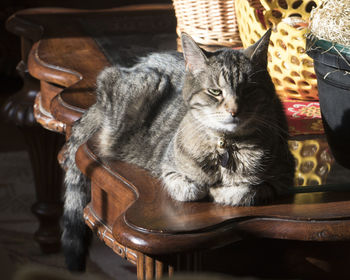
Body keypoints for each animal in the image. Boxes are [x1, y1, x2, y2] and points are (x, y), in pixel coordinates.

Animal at [62, 30, 296, 272]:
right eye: (215, 92)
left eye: (249, 90)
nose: (234, 111)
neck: (225, 145)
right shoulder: (168, 167)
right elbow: (186, 187)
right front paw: (203, 188)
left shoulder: (282, 178)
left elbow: (247, 190)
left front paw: (224, 191)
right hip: (141, 84)